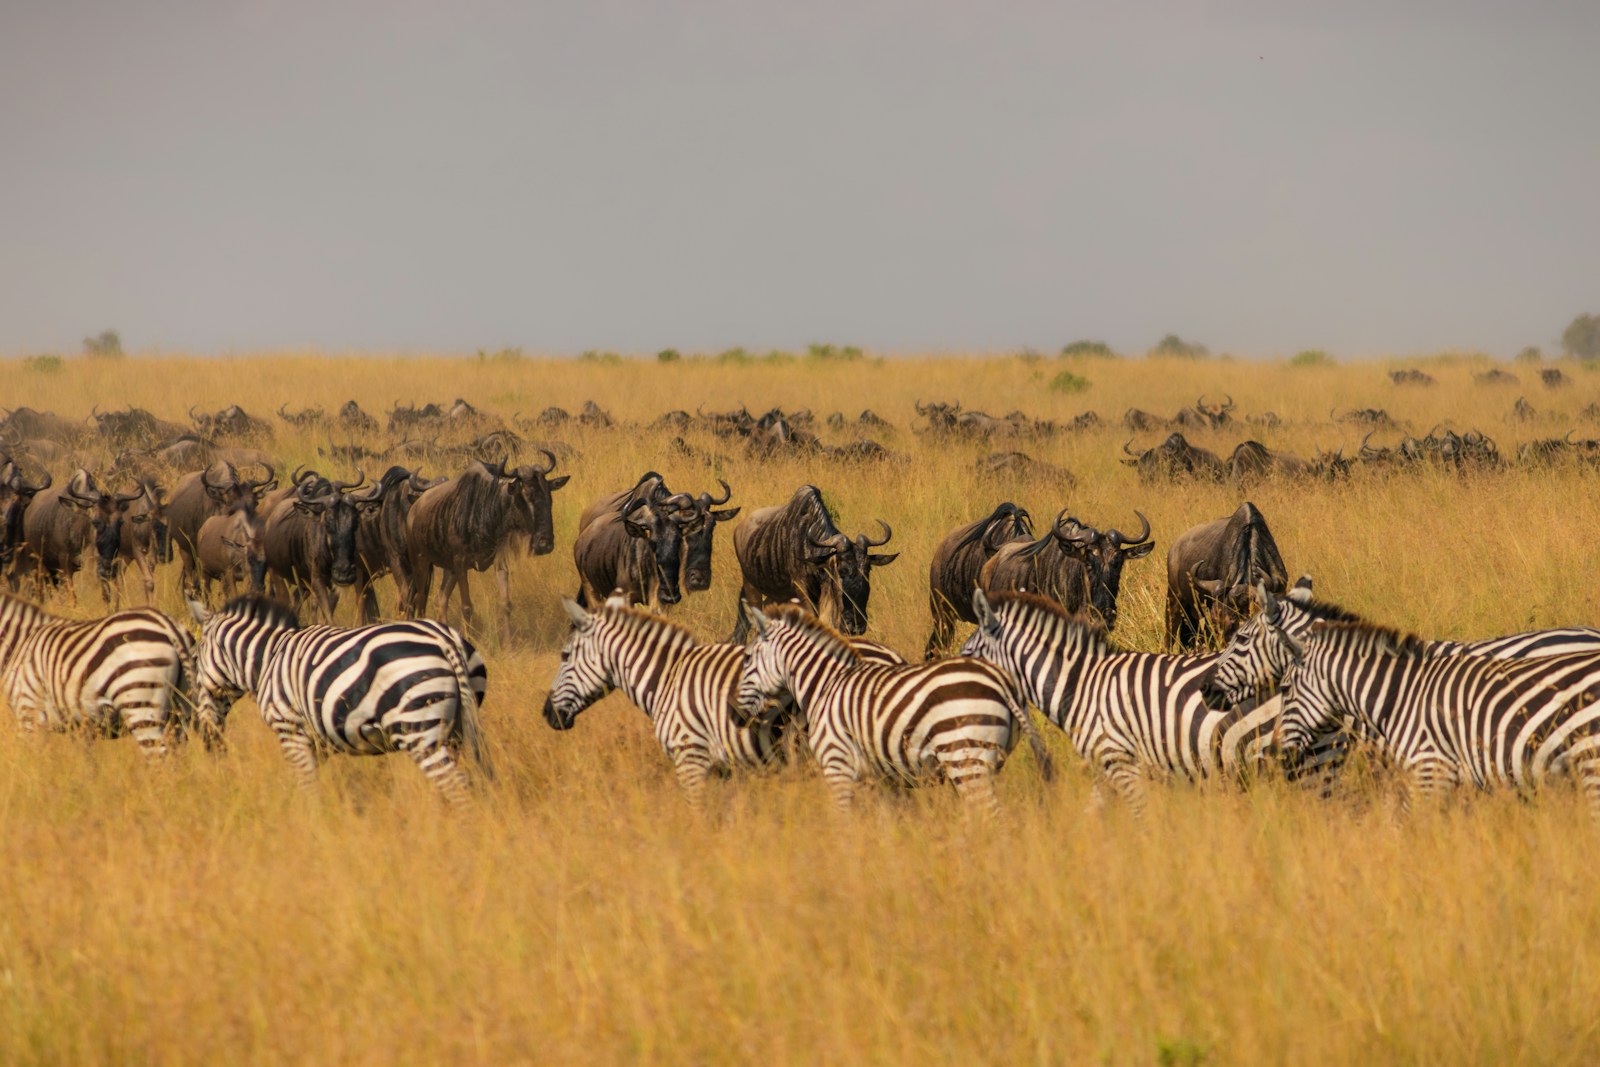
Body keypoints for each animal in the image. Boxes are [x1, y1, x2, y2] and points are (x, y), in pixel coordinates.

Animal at [0, 593, 196, 758]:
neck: (19, 645)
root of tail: (169, 627)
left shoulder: (29, 715)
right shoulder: (81, 729)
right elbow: (87, 766)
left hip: (141, 705)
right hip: (179, 714)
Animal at [186, 596, 490, 804]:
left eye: (195, 659)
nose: (206, 738)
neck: (267, 659)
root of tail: (444, 639)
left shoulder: (290, 730)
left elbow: (306, 787)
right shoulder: (315, 741)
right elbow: (312, 786)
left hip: (418, 729)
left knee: (457, 785)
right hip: (455, 727)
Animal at [543, 594, 905, 809]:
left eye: (564, 656)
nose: (548, 715)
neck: (667, 679)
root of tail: (893, 656)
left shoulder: (690, 756)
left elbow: (696, 816)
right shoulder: (726, 770)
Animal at [734, 602, 1054, 814]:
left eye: (747, 657)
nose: (735, 714)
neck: (825, 683)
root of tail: (1003, 683)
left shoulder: (837, 764)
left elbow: (844, 824)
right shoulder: (879, 778)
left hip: (966, 758)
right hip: (989, 761)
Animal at [961, 589, 1280, 815]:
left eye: (966, 653)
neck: (1080, 684)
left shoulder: (1120, 760)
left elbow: (1140, 818)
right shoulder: (1105, 767)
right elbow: (1092, 819)